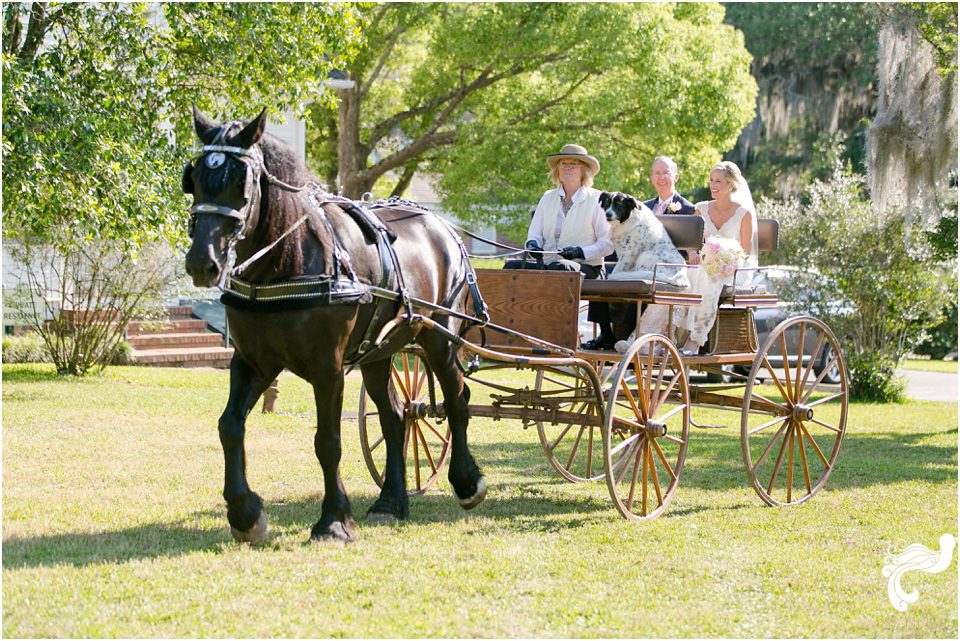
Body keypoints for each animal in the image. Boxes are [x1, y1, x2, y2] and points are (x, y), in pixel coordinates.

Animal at [181, 107, 488, 544]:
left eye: (242, 183)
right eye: (193, 182)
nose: (201, 262)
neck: (281, 266)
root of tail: (442, 226)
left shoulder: (328, 368)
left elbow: (327, 442)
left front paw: (333, 522)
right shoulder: (252, 361)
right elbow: (230, 426)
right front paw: (245, 514)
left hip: (439, 337)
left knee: (457, 400)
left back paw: (466, 483)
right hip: (379, 353)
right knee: (397, 417)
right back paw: (390, 502)